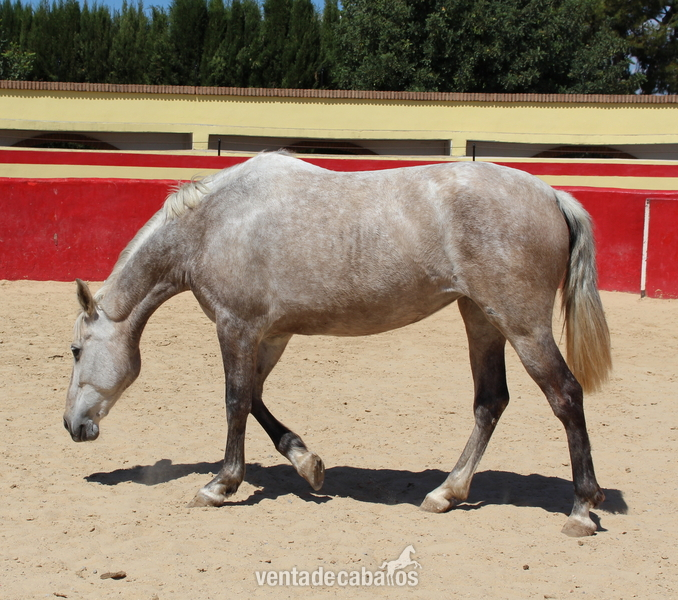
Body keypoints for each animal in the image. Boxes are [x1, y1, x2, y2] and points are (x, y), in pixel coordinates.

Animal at [64, 151, 611, 537]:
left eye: (74, 351)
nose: (73, 425)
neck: (213, 225)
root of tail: (551, 194)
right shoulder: (271, 335)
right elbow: (257, 401)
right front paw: (308, 465)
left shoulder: (236, 328)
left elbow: (235, 402)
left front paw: (221, 484)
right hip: (481, 319)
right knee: (490, 402)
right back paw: (446, 492)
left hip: (522, 326)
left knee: (565, 396)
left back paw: (582, 508)